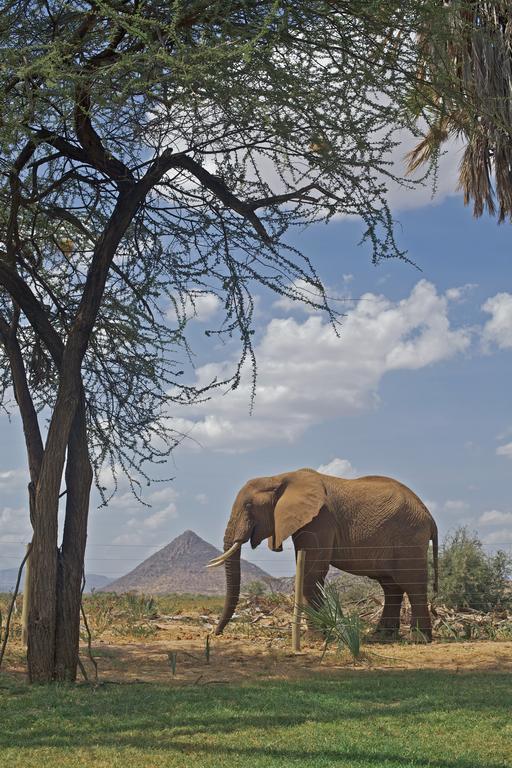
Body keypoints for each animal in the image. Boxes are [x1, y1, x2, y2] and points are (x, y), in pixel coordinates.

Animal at [209, 468, 440, 640]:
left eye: (248, 506)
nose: (216, 633)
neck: (279, 477)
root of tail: (430, 517)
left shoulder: (320, 520)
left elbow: (312, 573)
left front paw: (315, 638)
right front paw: (323, 635)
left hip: (409, 538)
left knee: (412, 584)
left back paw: (419, 639)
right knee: (391, 586)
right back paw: (381, 637)